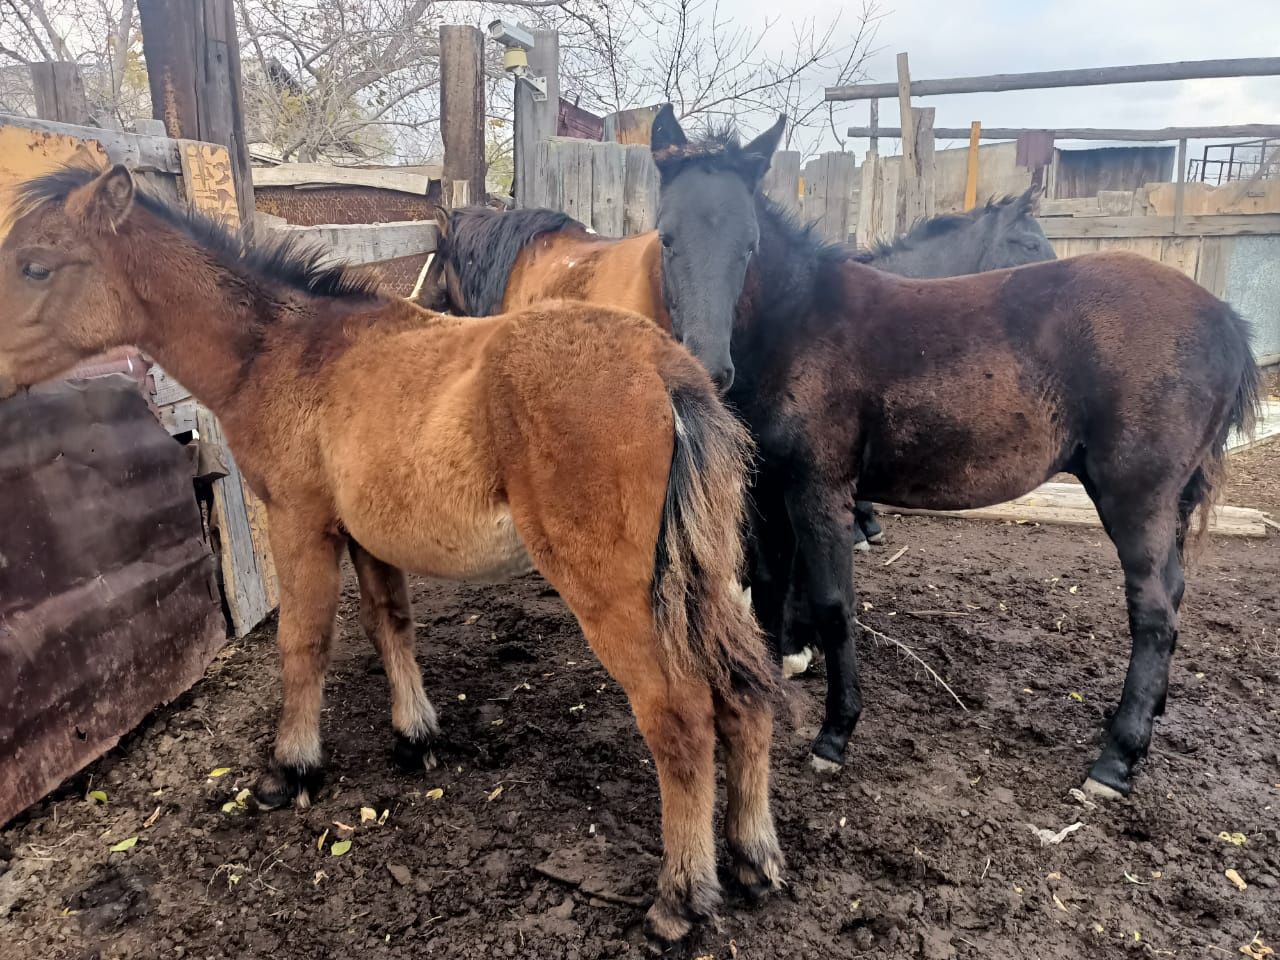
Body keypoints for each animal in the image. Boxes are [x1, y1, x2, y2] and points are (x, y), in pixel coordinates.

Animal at [0, 167, 783, 947]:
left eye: (35, 265)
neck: (285, 352)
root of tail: (666, 369)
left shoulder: (301, 520)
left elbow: (302, 642)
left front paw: (292, 767)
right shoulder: (365, 535)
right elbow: (390, 624)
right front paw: (415, 736)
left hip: (614, 590)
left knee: (681, 715)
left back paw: (681, 896)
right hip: (701, 580)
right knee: (745, 693)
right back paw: (753, 858)